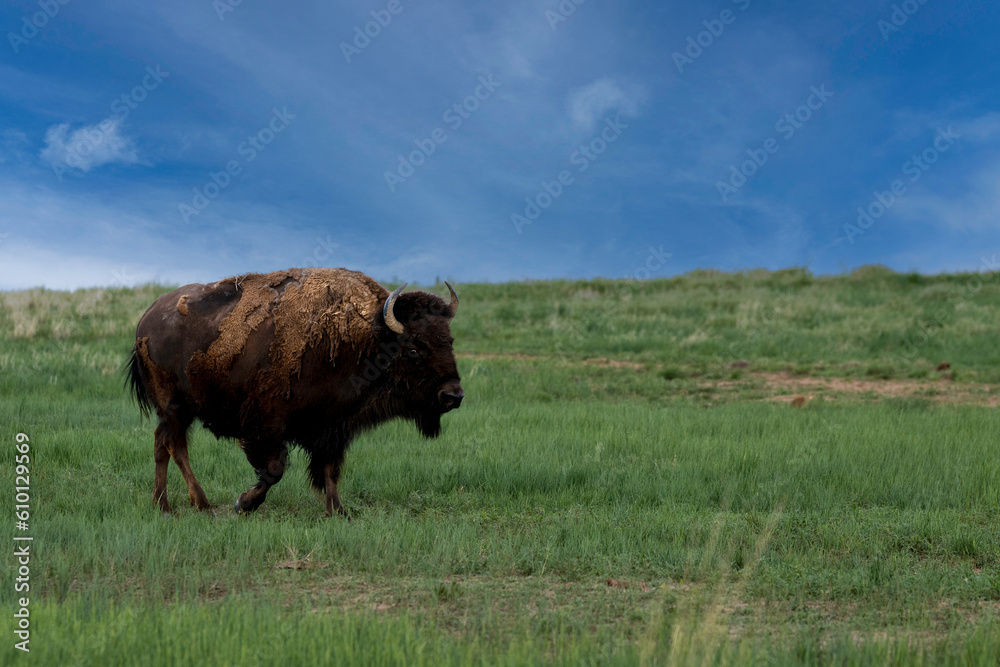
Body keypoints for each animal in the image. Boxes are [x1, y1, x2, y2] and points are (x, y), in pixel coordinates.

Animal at [125, 268, 464, 520]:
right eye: (414, 348)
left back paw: (163, 505)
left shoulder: (333, 426)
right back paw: (202, 504)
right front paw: (243, 504)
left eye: (449, 340)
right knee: (176, 446)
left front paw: (338, 512)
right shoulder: (267, 423)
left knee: (161, 444)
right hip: (175, 406)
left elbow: (329, 469)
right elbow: (274, 470)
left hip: (175, 411)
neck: (367, 338)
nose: (454, 396)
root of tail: (145, 321)